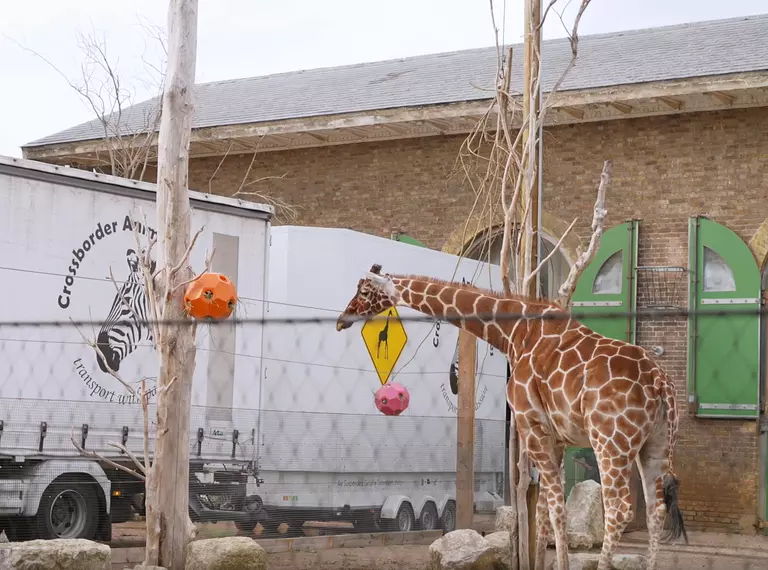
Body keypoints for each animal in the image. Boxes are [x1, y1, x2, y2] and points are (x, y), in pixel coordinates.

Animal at [340, 262, 688, 568]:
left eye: (365, 289)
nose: (343, 318)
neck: (514, 332)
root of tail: (660, 383)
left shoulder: (530, 424)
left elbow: (556, 509)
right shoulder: (557, 438)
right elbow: (546, 510)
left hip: (610, 443)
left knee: (619, 509)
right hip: (656, 444)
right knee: (656, 509)